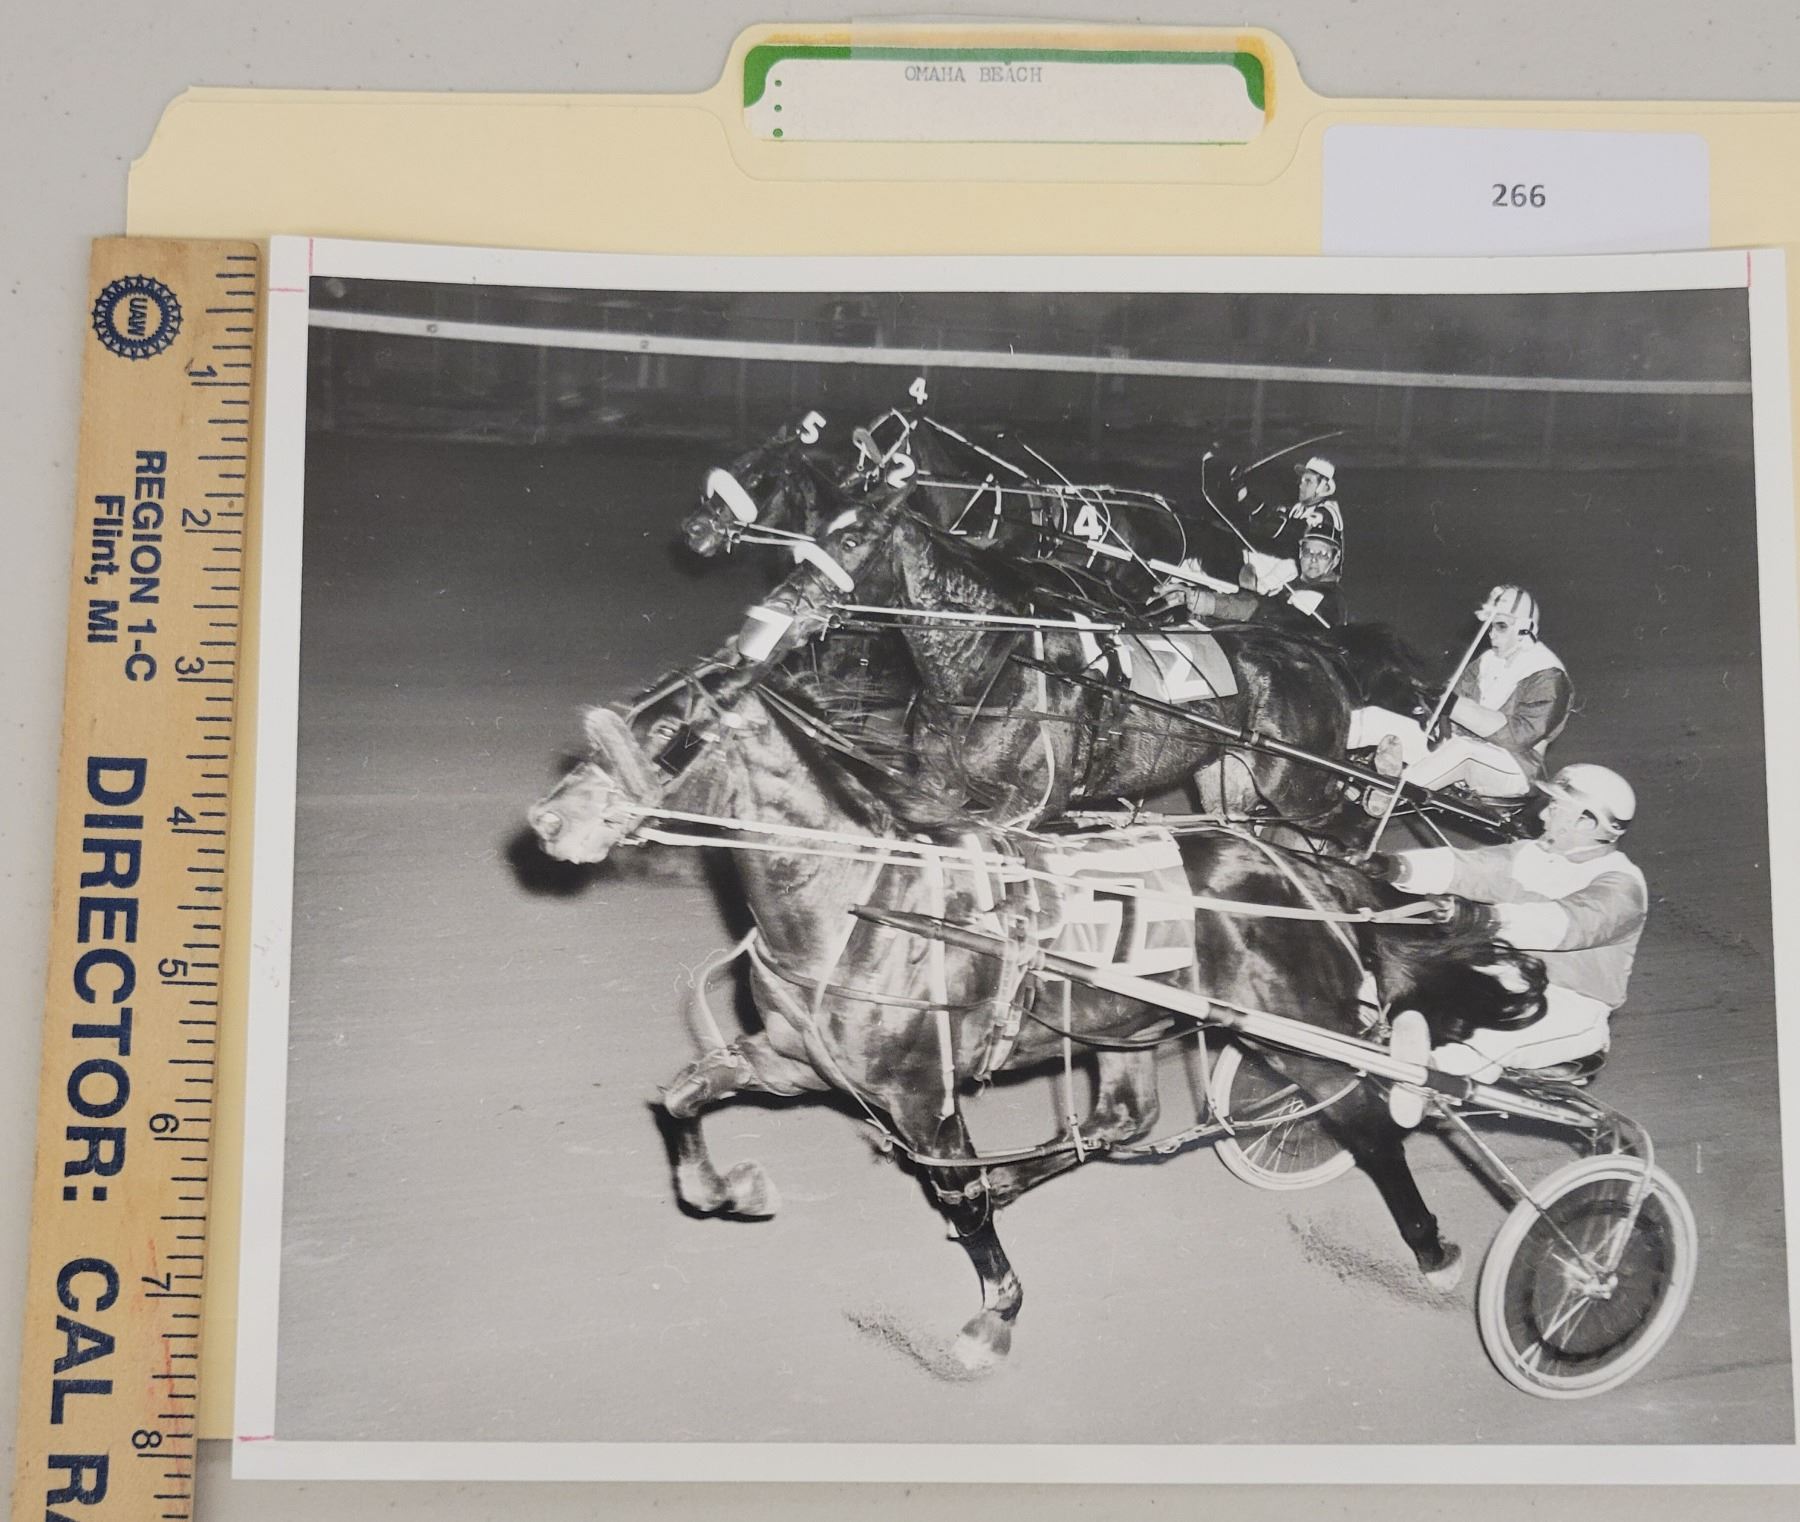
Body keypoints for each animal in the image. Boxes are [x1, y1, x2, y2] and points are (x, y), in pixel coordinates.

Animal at [525, 666, 1546, 1368]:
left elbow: (957, 1194)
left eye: (666, 736)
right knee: (1124, 1118)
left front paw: (995, 1316)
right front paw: (728, 1188)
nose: (546, 823)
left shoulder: (921, 1093)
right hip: (1125, 1028)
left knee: (1369, 1123)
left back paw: (1434, 1252)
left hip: (1296, 1029)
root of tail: (1304, 869)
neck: (868, 901)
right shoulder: (791, 1060)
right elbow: (682, 1096)